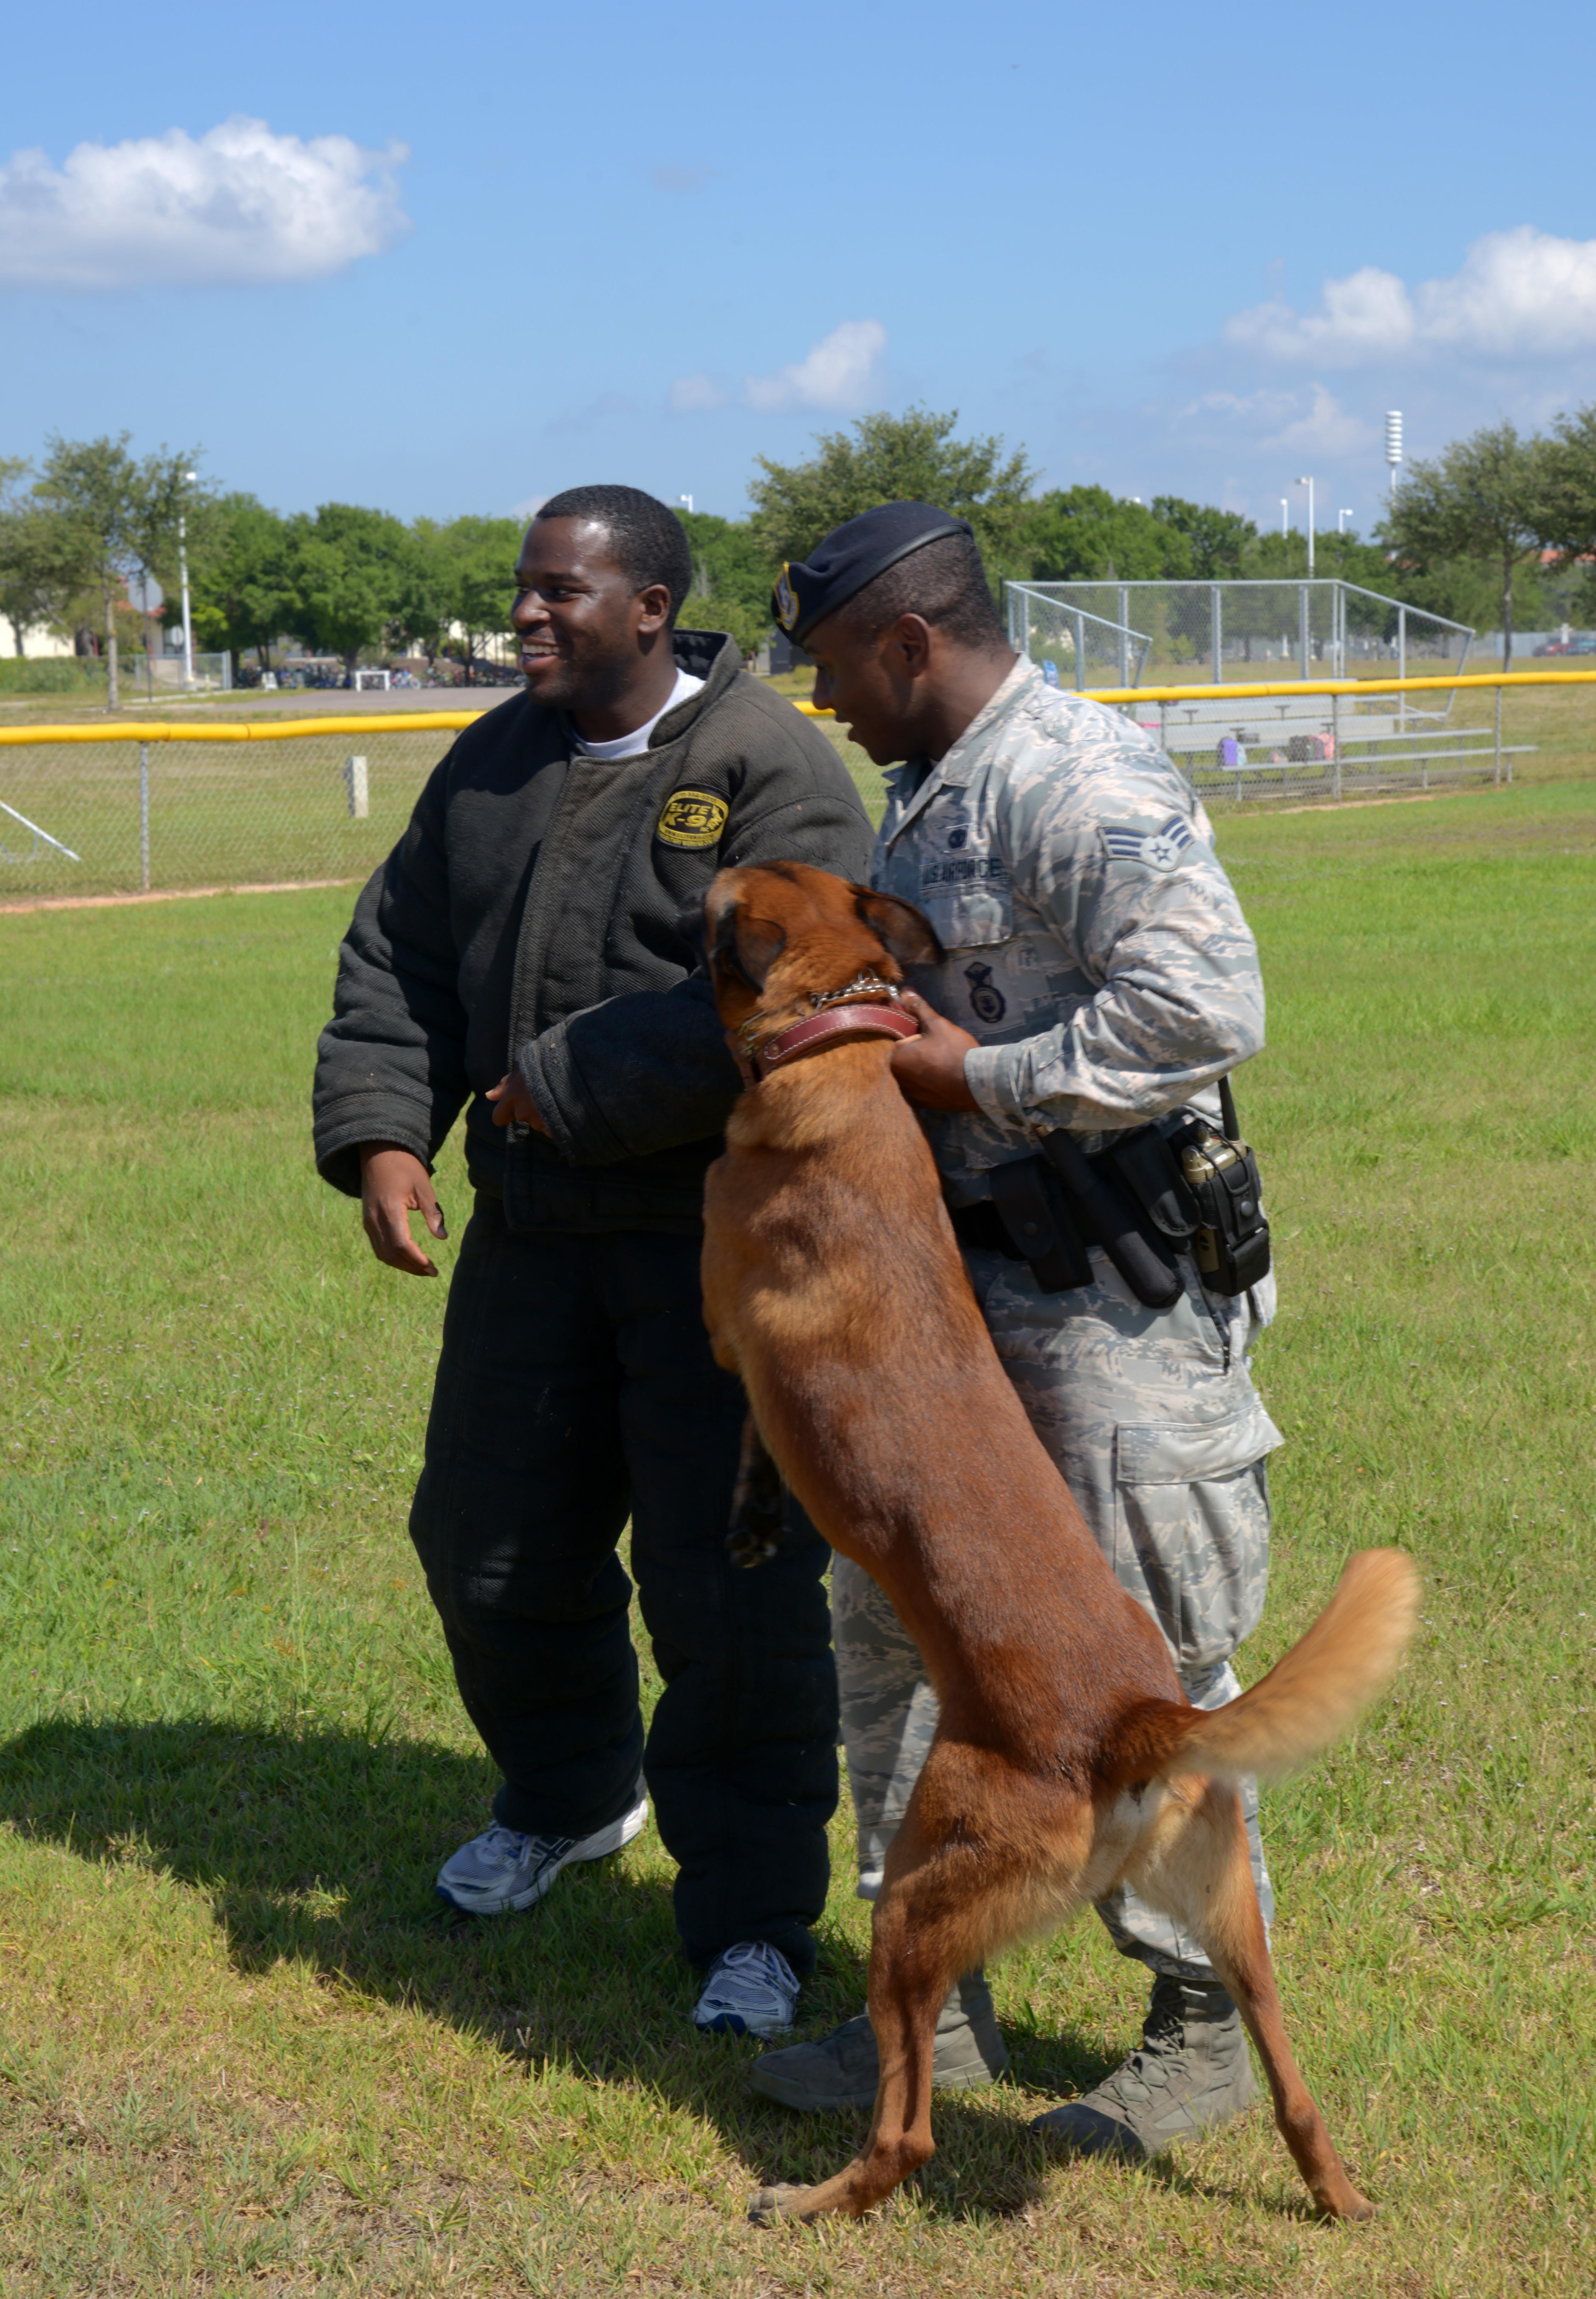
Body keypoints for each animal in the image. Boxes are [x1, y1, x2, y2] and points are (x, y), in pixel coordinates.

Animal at [694, 864, 1416, 2225]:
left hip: (917, 1898)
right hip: (1231, 1919)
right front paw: (752, 1519)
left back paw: (810, 2199)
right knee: (1289, 2081)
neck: (845, 1056)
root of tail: (1140, 1721)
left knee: (909, 2134)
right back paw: (1335, 2190)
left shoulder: (728, 1336)